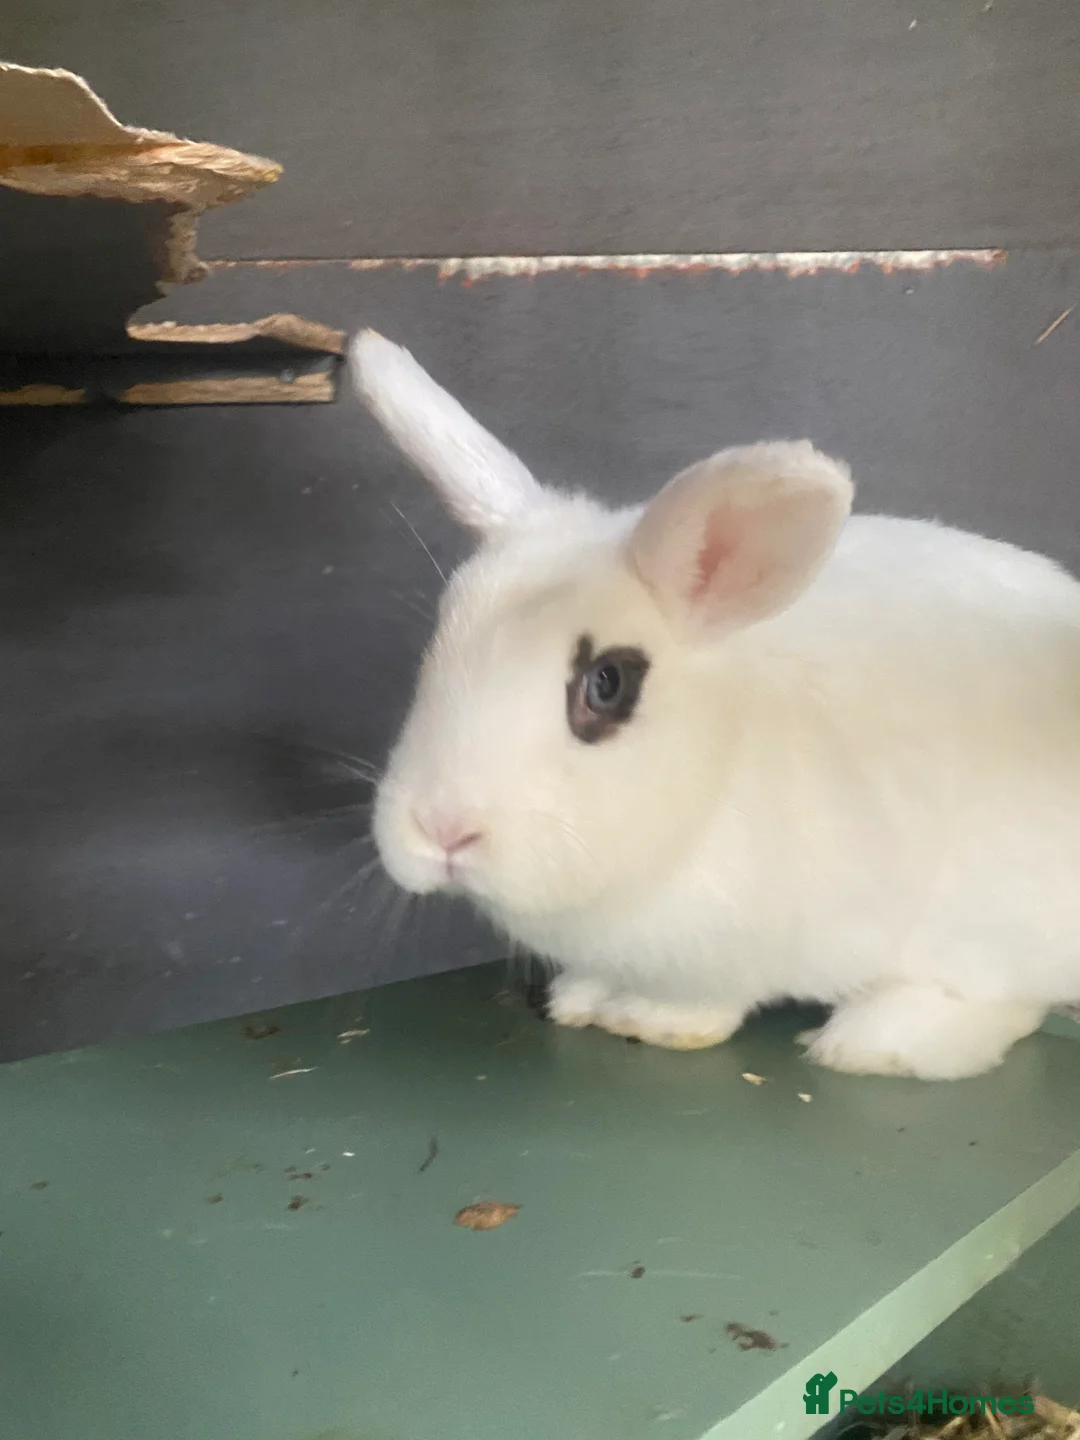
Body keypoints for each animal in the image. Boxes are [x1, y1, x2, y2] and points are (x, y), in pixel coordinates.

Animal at [351, 328, 1080, 1080]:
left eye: (608, 683)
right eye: (437, 646)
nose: (441, 831)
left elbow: (706, 1003)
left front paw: (646, 1020)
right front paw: (585, 999)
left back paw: (872, 1043)